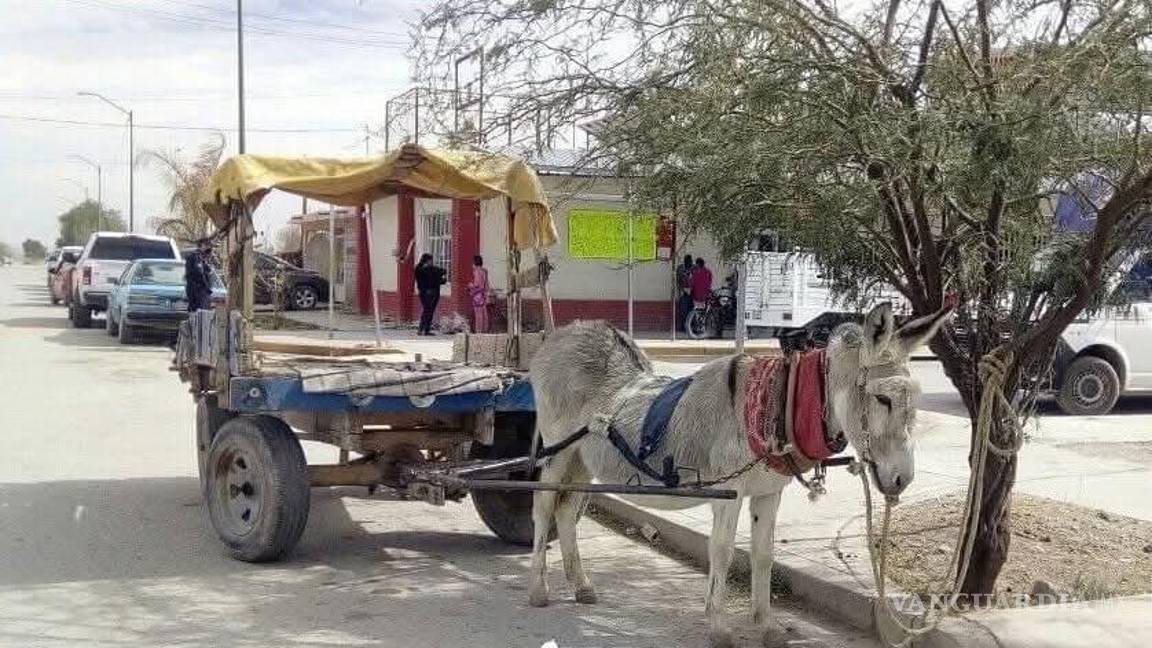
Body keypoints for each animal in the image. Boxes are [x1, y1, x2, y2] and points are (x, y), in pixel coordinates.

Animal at [526, 302, 954, 647]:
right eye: (883, 399)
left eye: (915, 399)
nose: (902, 480)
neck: (775, 408)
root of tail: (568, 332)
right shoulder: (728, 493)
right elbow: (724, 552)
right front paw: (718, 626)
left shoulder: (768, 493)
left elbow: (763, 555)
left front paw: (766, 625)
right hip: (557, 451)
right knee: (544, 507)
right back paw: (538, 590)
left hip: (583, 460)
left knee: (567, 511)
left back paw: (581, 586)